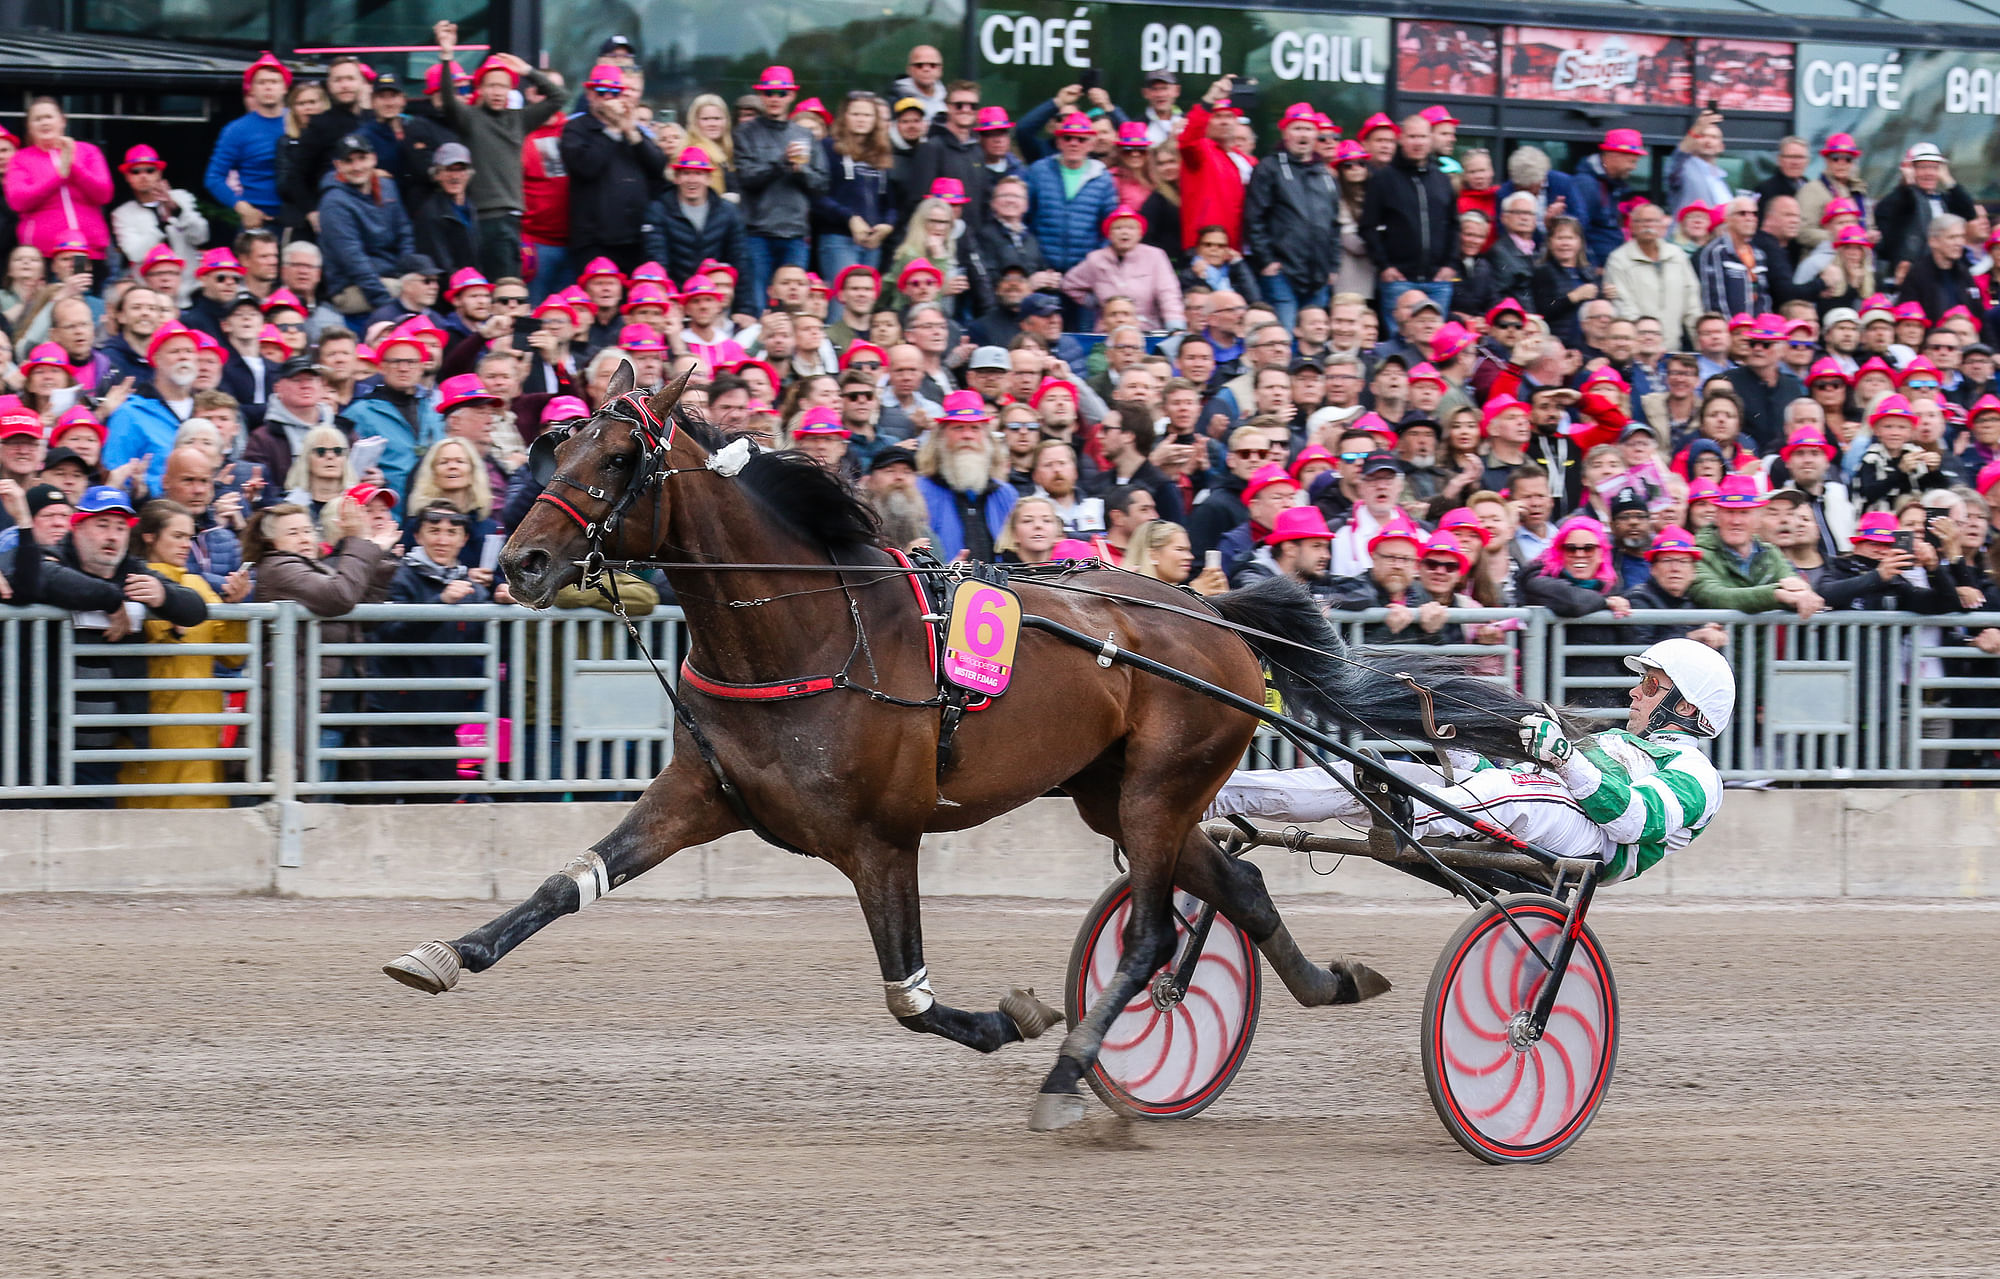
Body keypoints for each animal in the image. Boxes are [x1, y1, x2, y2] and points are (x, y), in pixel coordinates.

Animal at [382, 367, 1544, 1127]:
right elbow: (565, 880)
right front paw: (442, 952)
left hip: (1160, 786)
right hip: (1122, 792)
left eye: (620, 457)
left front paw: (1018, 1019)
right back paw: (1325, 983)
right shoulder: (701, 792)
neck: (807, 632)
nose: (522, 562)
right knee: (1238, 893)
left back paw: (1072, 1072)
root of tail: (1214, 616)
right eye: (558, 443)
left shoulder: (878, 840)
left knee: (1149, 935)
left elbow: (909, 993)